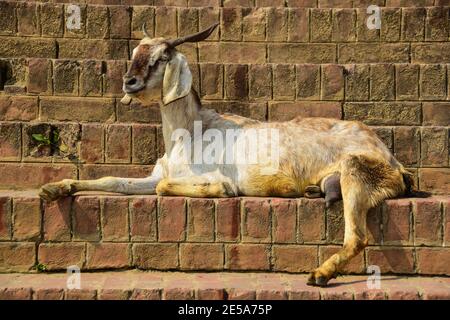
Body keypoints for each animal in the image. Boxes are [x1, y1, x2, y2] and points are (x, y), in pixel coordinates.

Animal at [40, 23, 416, 288]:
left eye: (162, 58)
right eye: (135, 52)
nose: (129, 82)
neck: (188, 132)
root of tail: (395, 162)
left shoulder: (204, 175)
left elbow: (172, 188)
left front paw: (220, 192)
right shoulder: (155, 174)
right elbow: (113, 181)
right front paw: (54, 188)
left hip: (359, 168)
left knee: (359, 236)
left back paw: (320, 273)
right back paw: (312, 192)